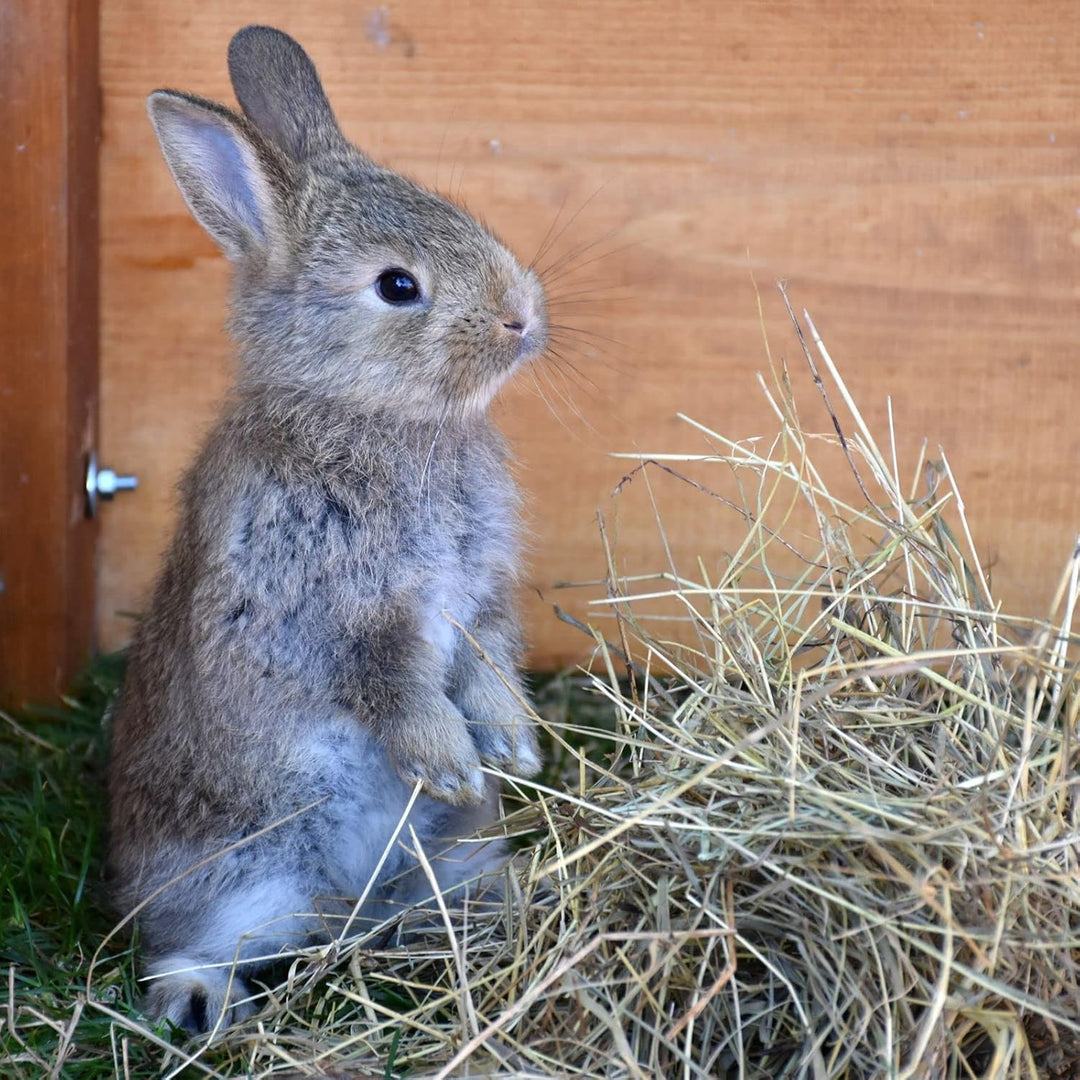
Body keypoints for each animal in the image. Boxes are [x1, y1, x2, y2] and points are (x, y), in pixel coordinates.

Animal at [106, 25, 546, 1035]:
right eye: (398, 286)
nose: (522, 316)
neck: (369, 417)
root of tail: (348, 904)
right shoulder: (321, 608)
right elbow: (388, 683)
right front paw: (452, 762)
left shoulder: (481, 598)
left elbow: (489, 658)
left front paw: (512, 747)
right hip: (240, 869)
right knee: (182, 940)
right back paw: (200, 1002)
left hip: (441, 857)